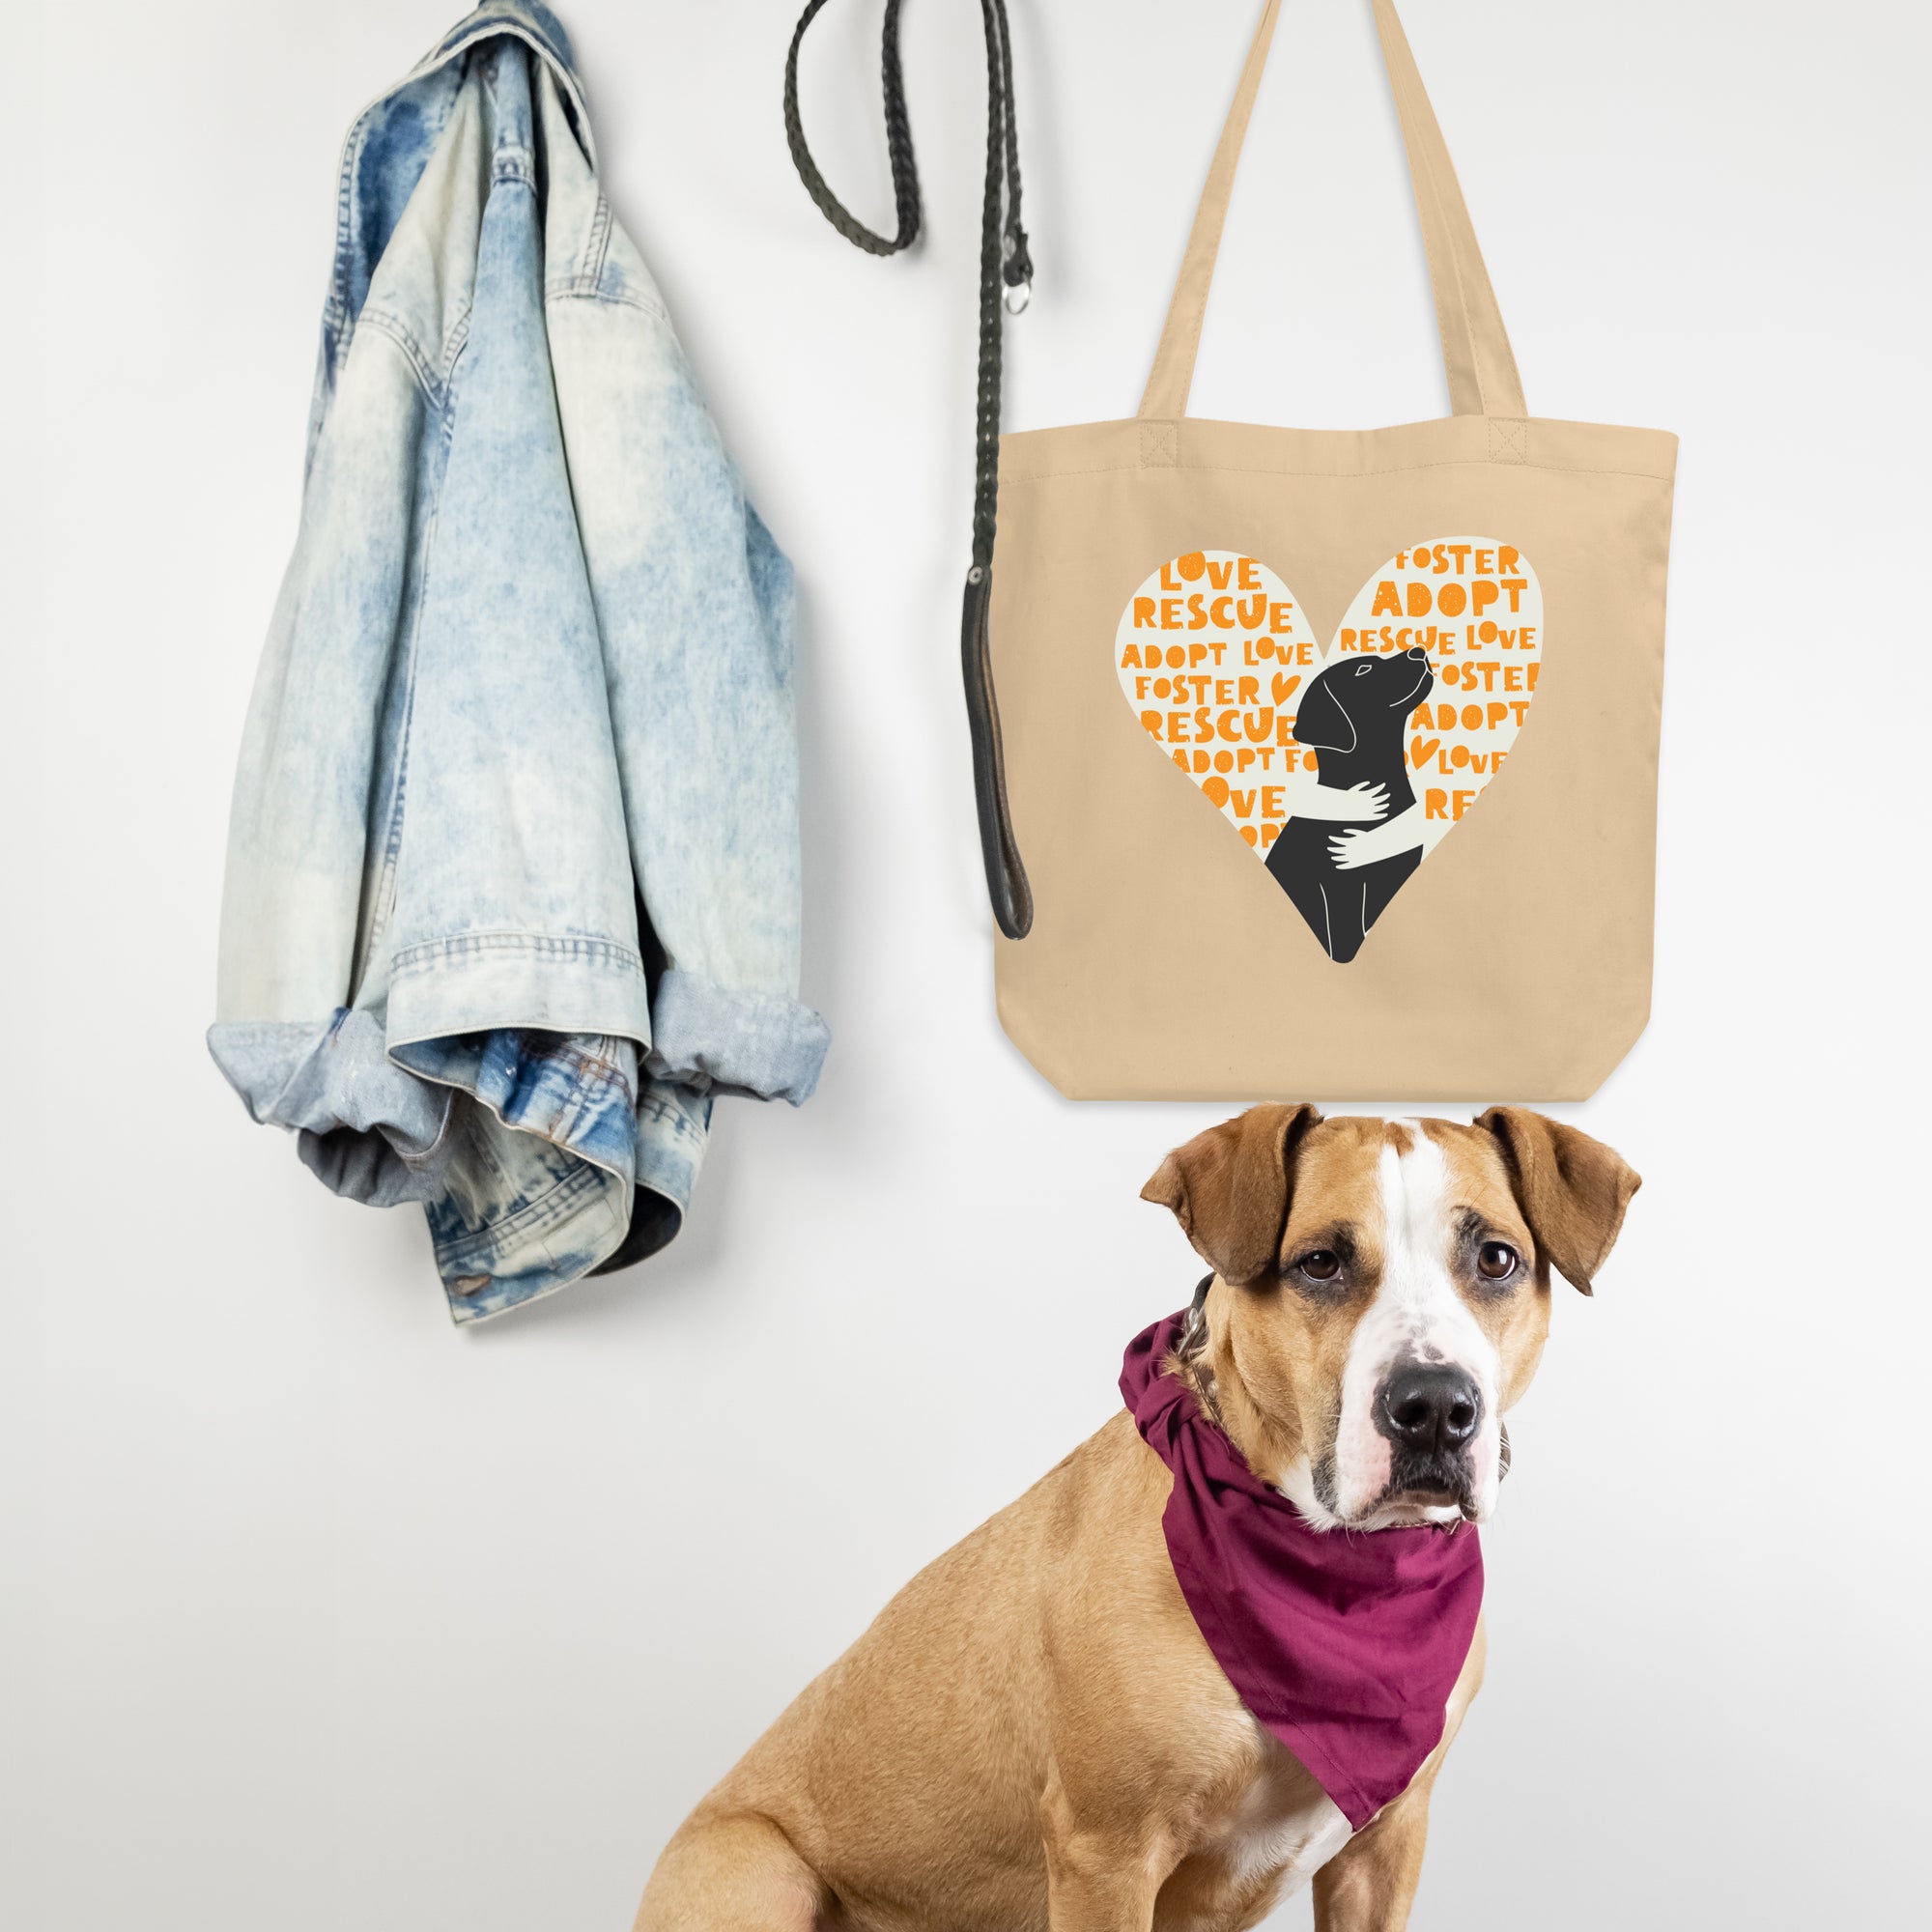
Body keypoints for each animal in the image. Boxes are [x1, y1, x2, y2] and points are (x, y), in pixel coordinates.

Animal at [641, 1105, 1638, 1932]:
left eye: (1496, 1258)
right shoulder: (1106, 1852)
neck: (1337, 1578)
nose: (1433, 1407)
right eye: (1320, 1263)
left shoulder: (1385, 1847)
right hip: (755, 1870)